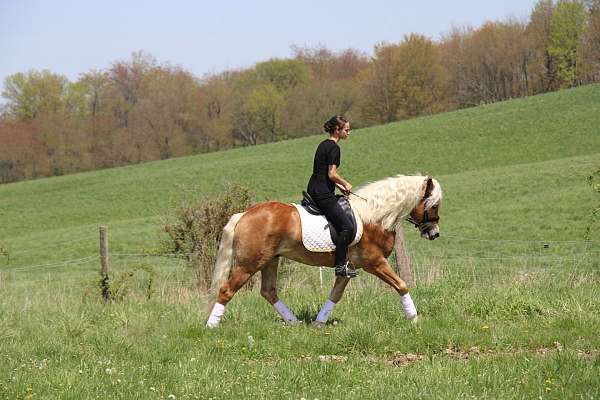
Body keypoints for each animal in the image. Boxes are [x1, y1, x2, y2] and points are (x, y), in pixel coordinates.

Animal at [205, 175, 440, 328]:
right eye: (434, 205)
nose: (435, 233)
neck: (373, 217)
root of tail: (244, 214)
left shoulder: (348, 268)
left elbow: (335, 294)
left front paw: (319, 322)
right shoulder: (375, 262)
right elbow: (401, 285)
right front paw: (414, 318)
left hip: (270, 260)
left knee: (268, 291)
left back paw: (294, 322)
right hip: (249, 264)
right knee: (226, 290)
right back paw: (211, 326)